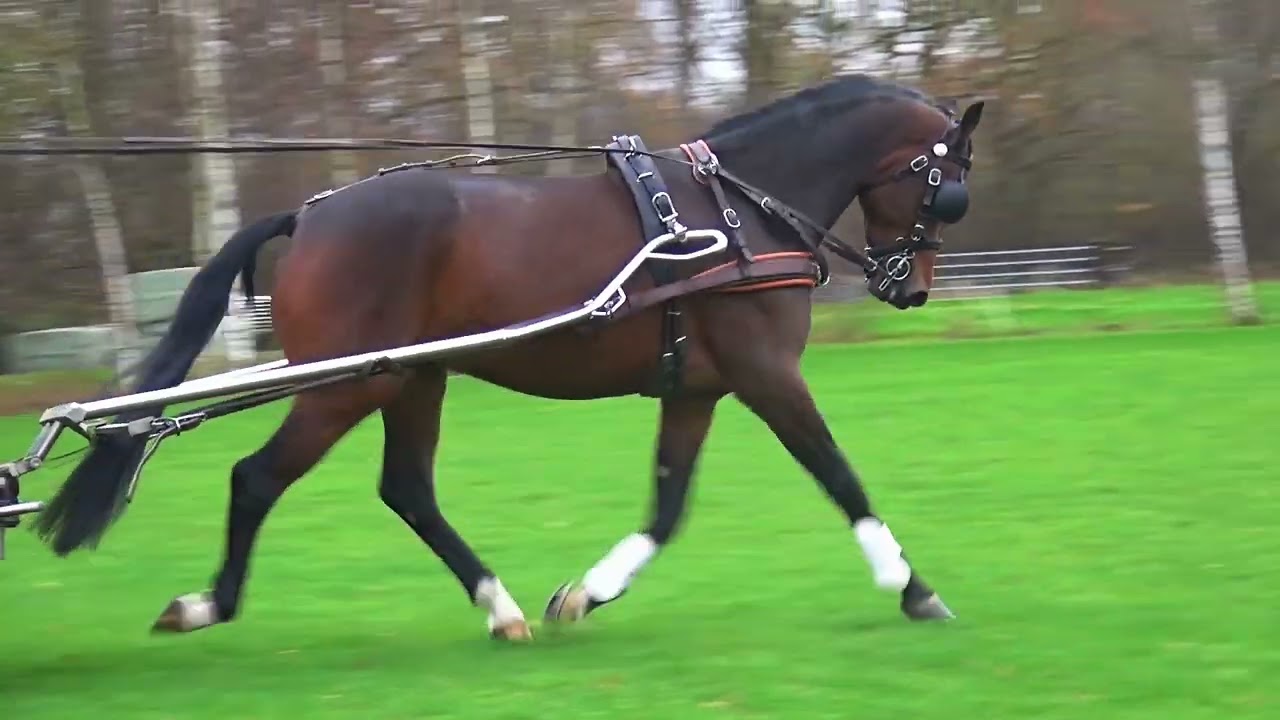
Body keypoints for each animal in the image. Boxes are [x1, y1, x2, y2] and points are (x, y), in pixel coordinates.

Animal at [31, 74, 983, 641]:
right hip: (347, 387)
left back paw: (501, 607)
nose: (911, 287)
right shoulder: (767, 377)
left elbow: (668, 505)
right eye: (949, 186)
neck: (735, 213)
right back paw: (208, 604)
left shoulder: (698, 389)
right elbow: (838, 473)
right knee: (257, 479)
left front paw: (587, 593)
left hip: (411, 378)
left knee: (407, 492)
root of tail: (312, 215)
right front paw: (911, 584)